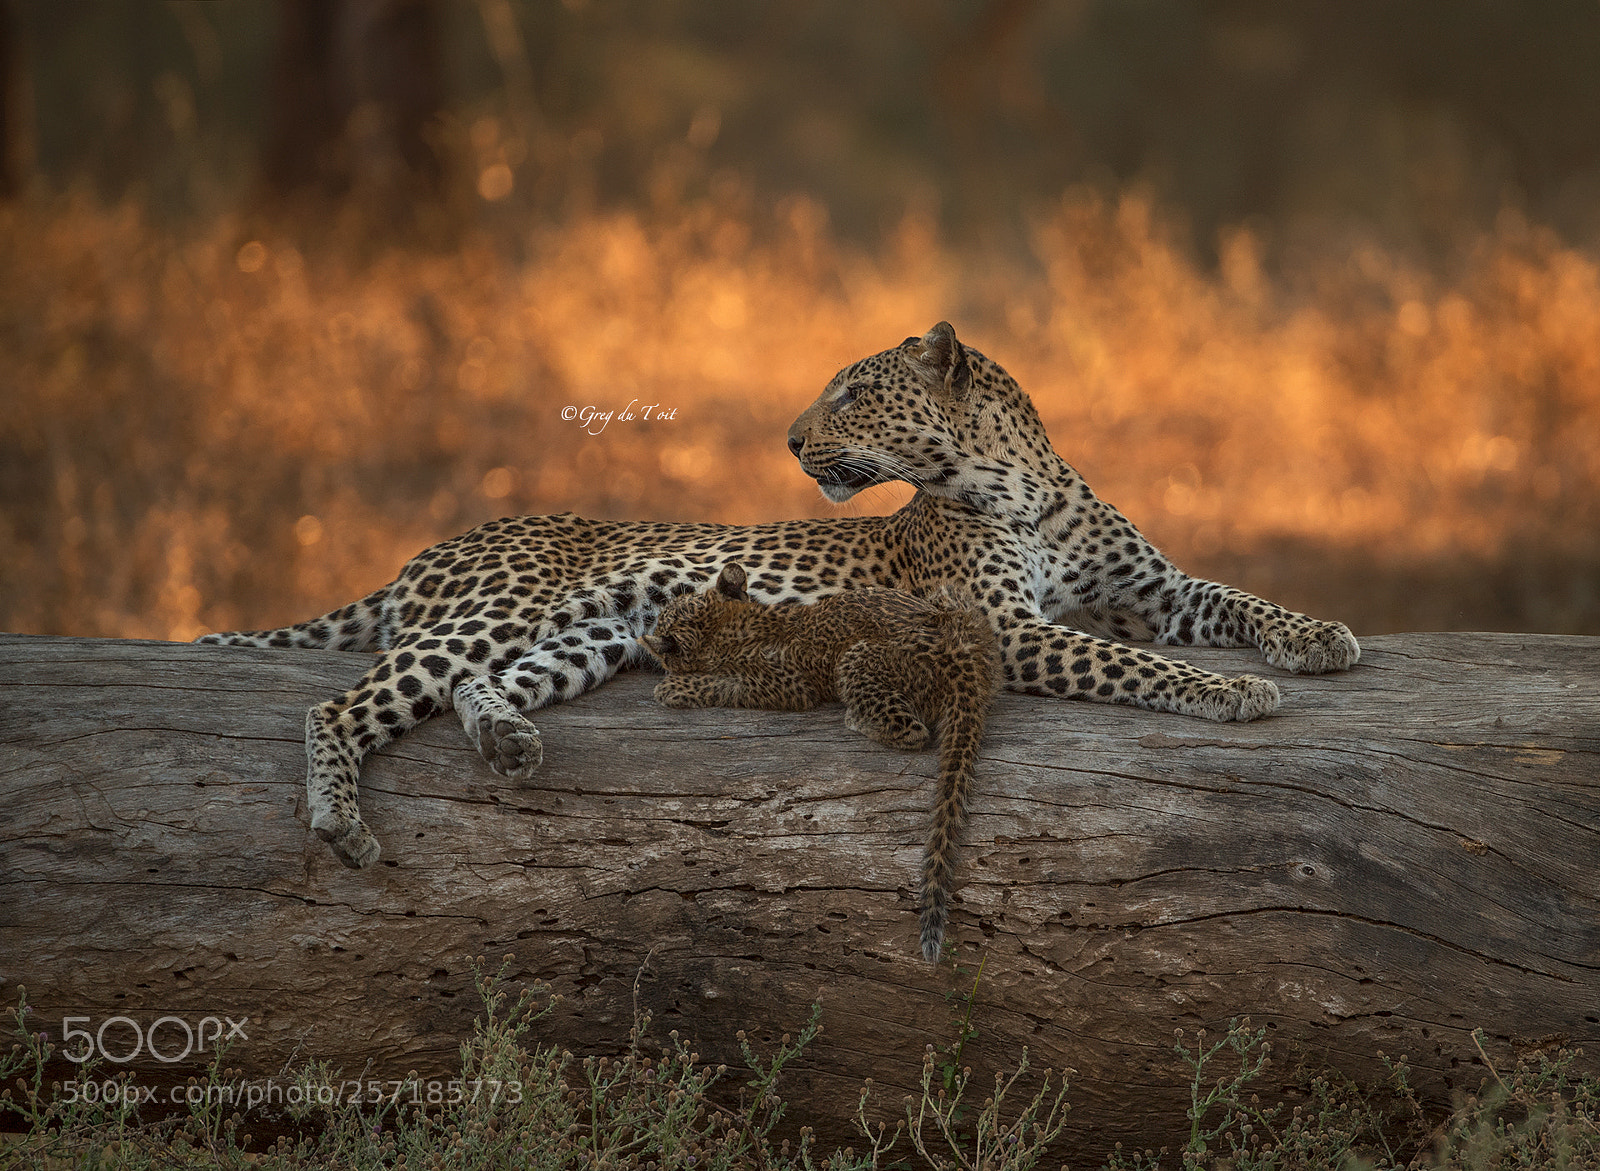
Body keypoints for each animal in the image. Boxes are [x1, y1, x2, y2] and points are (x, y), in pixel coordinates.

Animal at [198, 321, 1357, 871]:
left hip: (588, 637)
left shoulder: (1151, 588)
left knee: (480, 689)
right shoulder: (1004, 627)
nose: (791, 441)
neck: (1016, 482)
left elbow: (1234, 597)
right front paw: (1230, 693)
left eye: (851, 391)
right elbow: (1127, 660)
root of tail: (429, 547)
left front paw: (1318, 637)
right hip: (495, 608)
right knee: (340, 703)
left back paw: (509, 743)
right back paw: (340, 820)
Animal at [642, 561, 1002, 962]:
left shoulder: (788, 685)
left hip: (857, 657)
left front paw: (671, 689)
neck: (731, 625)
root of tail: (965, 656)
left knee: (912, 731)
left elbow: (722, 682)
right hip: (953, 601)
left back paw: (855, 718)